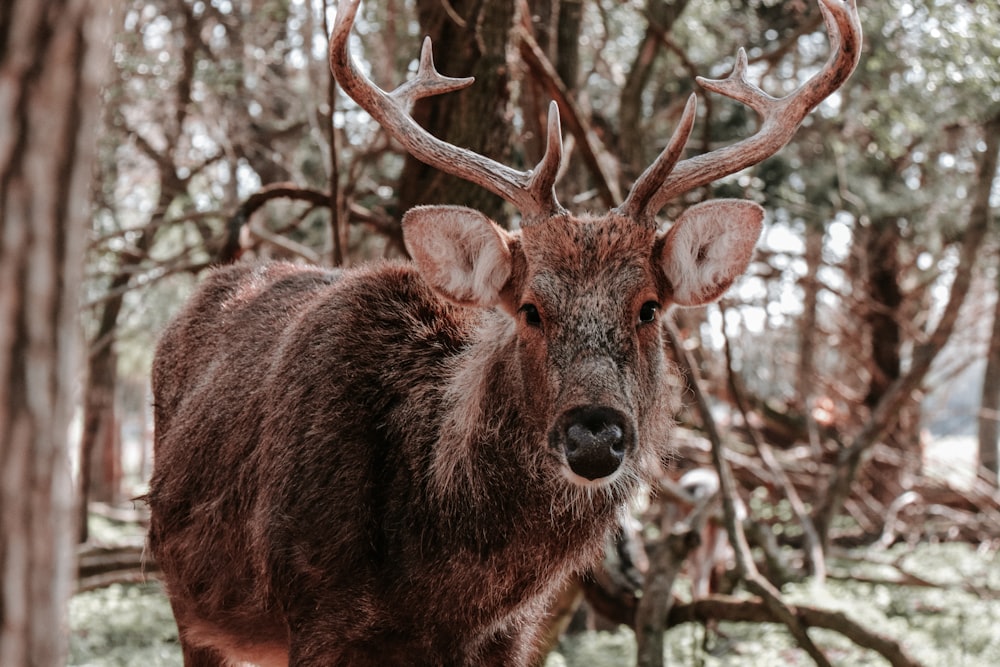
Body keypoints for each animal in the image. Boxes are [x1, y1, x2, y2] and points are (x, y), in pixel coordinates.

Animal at [145, 0, 864, 664]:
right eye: (530, 308)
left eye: (649, 307)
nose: (595, 433)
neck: (439, 585)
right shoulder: (315, 610)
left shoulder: (513, 633)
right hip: (190, 606)